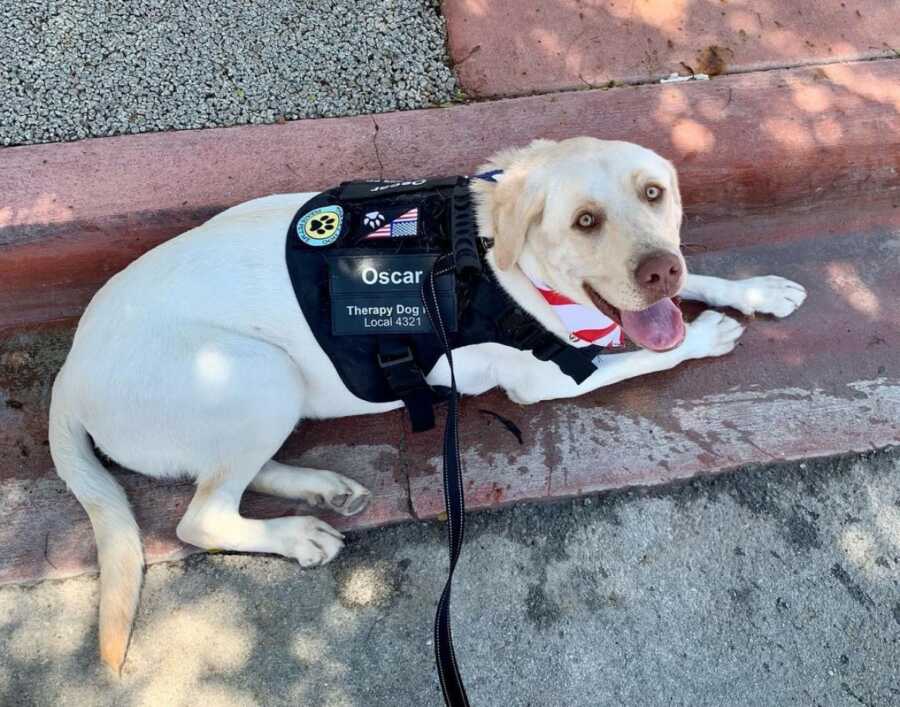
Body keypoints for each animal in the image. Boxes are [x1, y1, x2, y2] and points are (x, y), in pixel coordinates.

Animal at [49, 137, 808, 668]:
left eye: (654, 193)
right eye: (585, 221)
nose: (658, 269)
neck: (493, 250)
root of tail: (69, 373)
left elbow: (691, 291)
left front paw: (755, 290)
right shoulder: (551, 375)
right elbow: (653, 349)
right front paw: (706, 333)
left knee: (233, 477)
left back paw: (322, 488)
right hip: (258, 372)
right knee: (201, 515)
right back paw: (297, 534)